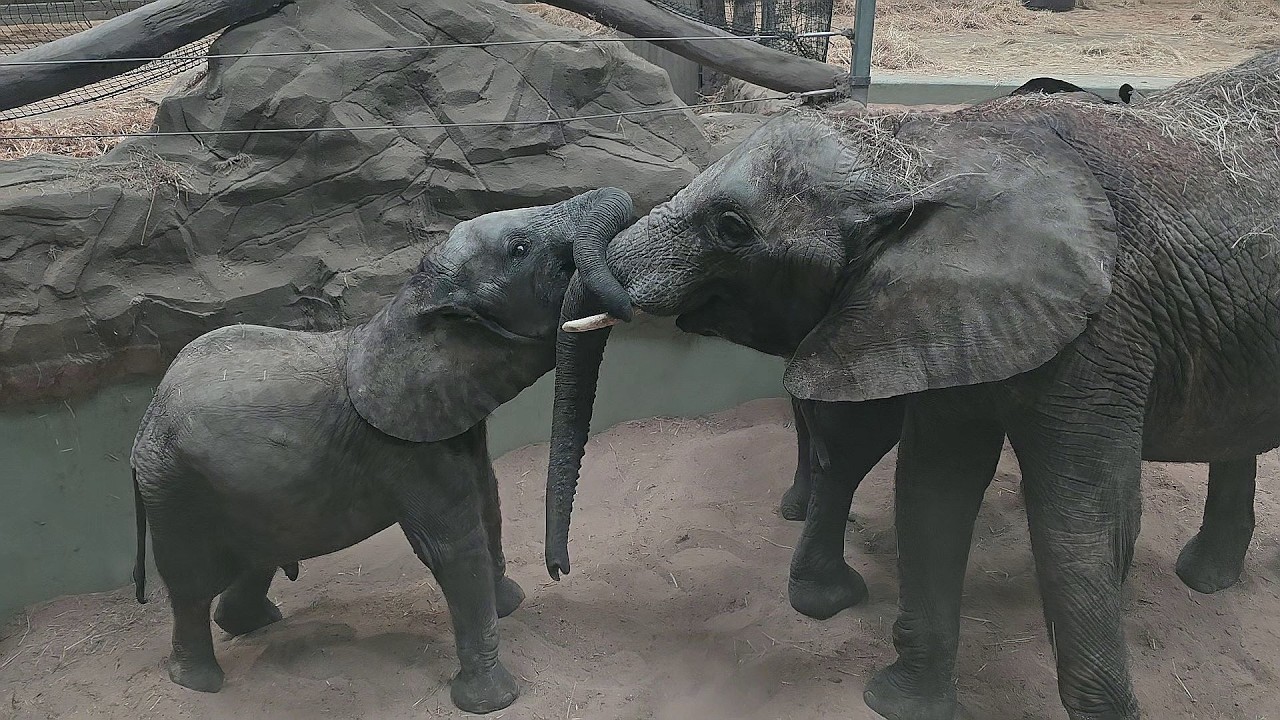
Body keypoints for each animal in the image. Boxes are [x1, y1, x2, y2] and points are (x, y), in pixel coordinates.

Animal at [128, 187, 634, 714]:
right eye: (519, 249)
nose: (559, 569)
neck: (412, 299)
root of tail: (150, 411)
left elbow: (488, 503)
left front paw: (510, 605)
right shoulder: (403, 451)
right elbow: (454, 547)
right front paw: (494, 701)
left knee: (261, 551)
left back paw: (254, 623)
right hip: (172, 485)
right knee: (189, 584)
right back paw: (199, 682)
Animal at [543, 49, 1280, 720]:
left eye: (730, 228)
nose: (559, 572)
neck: (925, 147)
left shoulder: (1106, 325)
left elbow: (1079, 519)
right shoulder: (940, 306)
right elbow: (934, 488)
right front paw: (898, 698)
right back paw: (1206, 579)